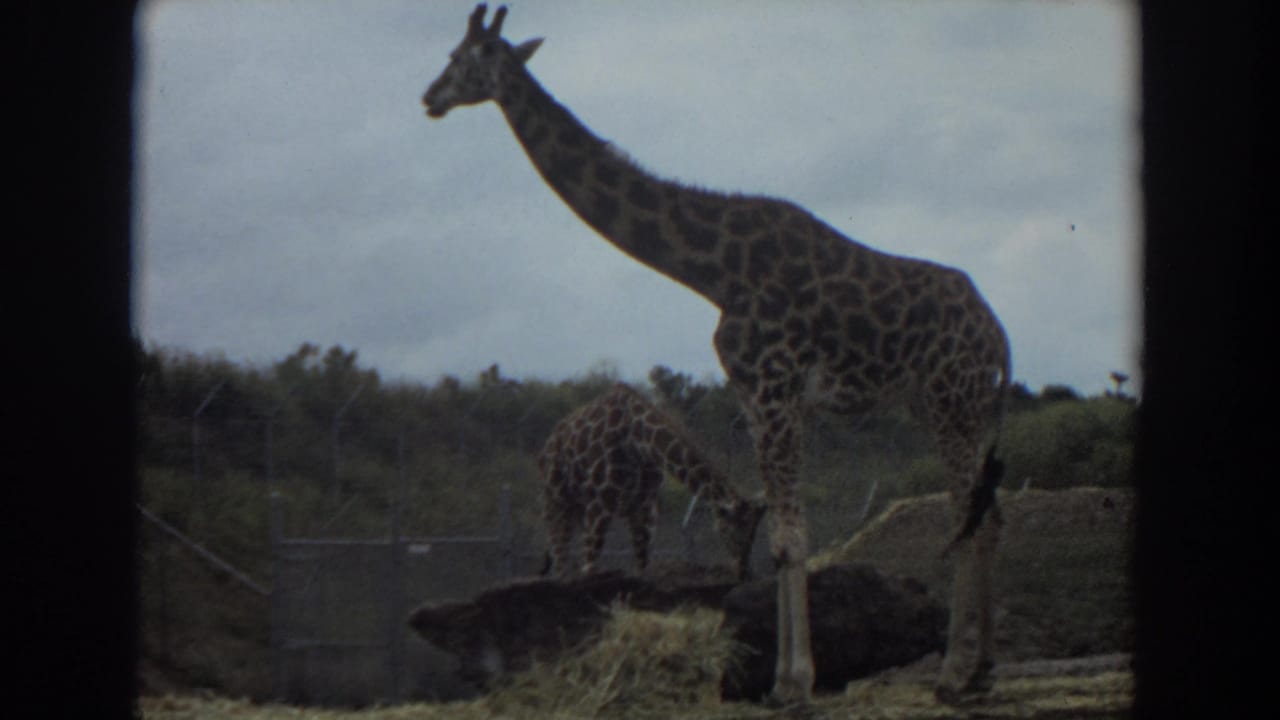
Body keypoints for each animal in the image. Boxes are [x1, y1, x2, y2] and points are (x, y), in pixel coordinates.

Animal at [538, 382, 766, 582]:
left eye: (754, 534)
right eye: (731, 532)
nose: (744, 573)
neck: (639, 442)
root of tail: (547, 445)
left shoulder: (644, 508)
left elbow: (642, 570)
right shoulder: (600, 505)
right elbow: (590, 568)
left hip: (578, 508)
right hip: (556, 502)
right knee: (560, 561)